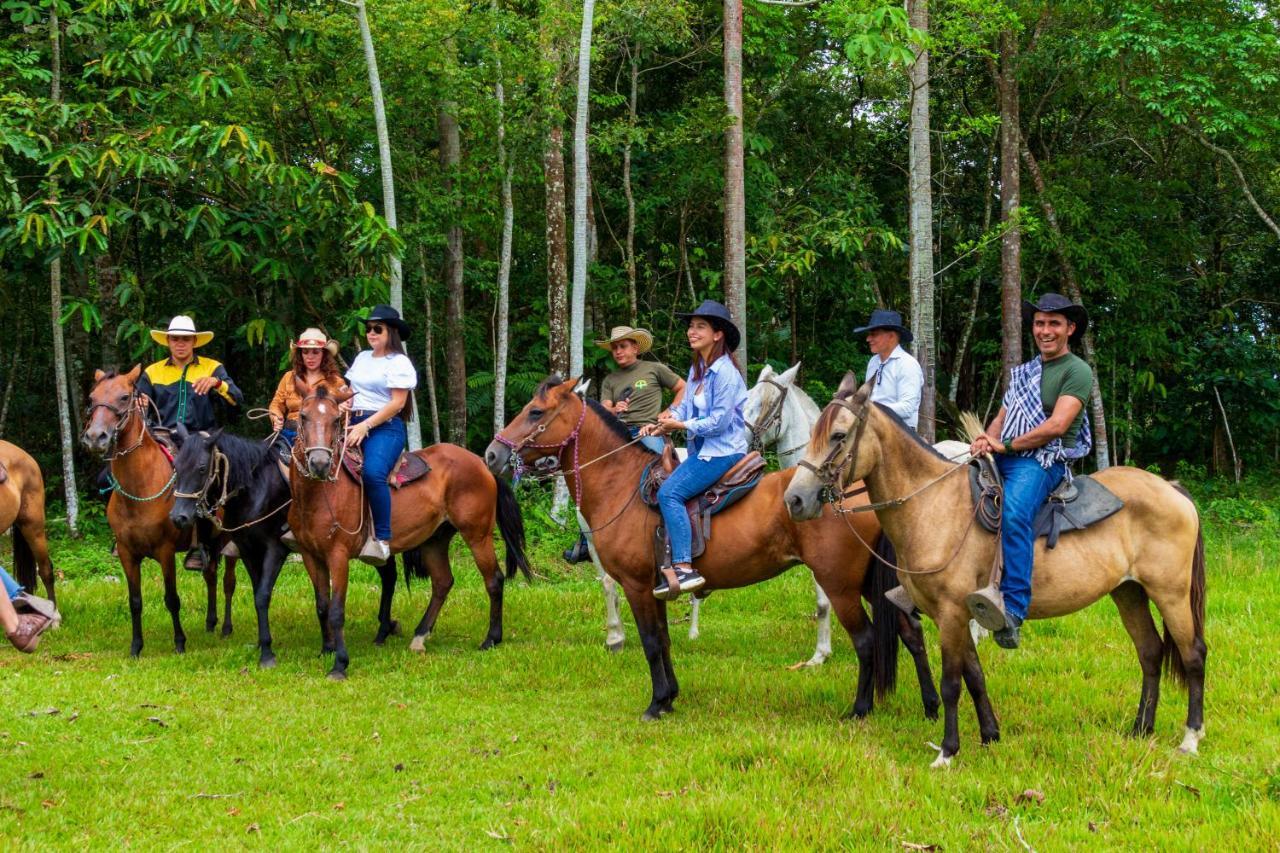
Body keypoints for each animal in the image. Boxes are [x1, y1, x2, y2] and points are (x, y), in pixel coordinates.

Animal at [79, 363, 238, 650]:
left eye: (124, 397)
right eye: (92, 399)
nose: (96, 437)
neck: (138, 490)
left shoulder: (165, 551)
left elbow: (172, 599)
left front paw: (180, 642)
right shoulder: (127, 553)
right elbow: (135, 602)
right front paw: (136, 647)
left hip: (228, 539)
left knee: (228, 582)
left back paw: (226, 627)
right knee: (209, 575)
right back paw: (210, 622)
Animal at [290, 379, 529, 676]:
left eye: (336, 420)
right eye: (303, 416)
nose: (320, 464)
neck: (318, 496)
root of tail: (482, 464)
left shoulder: (338, 555)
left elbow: (336, 610)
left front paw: (340, 665)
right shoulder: (311, 555)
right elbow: (322, 605)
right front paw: (327, 650)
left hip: (477, 534)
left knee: (494, 580)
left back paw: (491, 639)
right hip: (434, 540)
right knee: (442, 582)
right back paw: (420, 636)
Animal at [481, 376, 942, 722]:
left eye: (535, 412)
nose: (492, 453)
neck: (621, 484)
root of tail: (857, 487)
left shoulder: (635, 585)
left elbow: (651, 642)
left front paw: (655, 704)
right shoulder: (656, 588)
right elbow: (664, 640)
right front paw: (669, 697)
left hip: (839, 583)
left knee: (866, 639)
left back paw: (860, 710)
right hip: (867, 580)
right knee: (910, 631)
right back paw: (931, 706)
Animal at [778, 371, 1208, 763]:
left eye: (838, 436)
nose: (795, 500)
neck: (933, 506)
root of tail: (1171, 488)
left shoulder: (952, 613)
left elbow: (952, 682)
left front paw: (948, 751)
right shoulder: (957, 613)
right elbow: (975, 675)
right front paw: (990, 735)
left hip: (1169, 593)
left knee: (1193, 654)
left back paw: (1190, 739)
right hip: (1128, 591)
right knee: (1150, 652)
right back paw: (1141, 728)